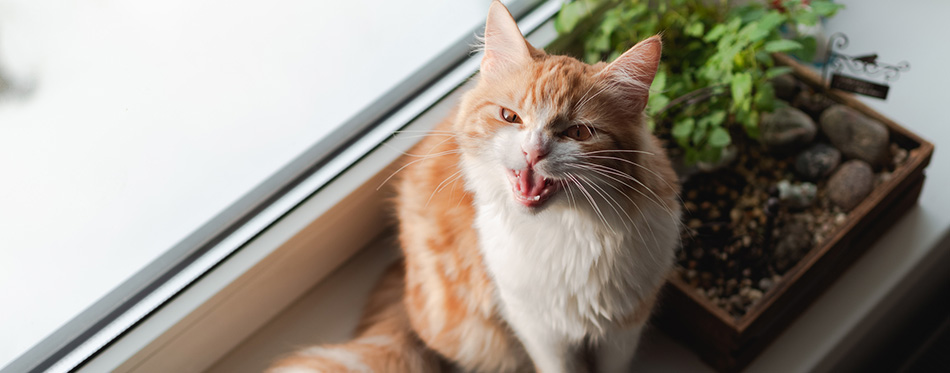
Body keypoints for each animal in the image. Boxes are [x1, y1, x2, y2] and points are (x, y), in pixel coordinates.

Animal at [272, 1, 680, 370]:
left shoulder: (624, 325)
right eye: (510, 117)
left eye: (578, 132)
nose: (533, 151)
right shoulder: (538, 330)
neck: (569, 230)